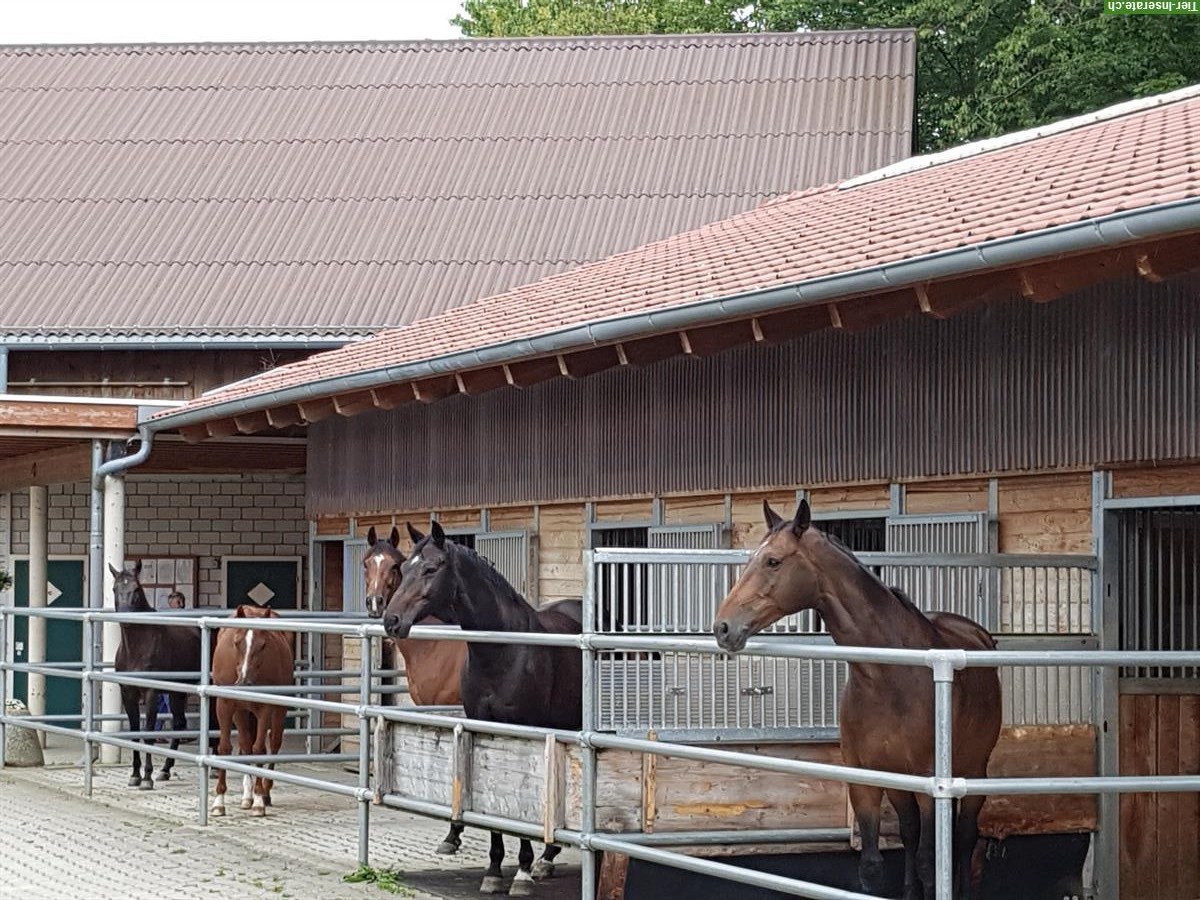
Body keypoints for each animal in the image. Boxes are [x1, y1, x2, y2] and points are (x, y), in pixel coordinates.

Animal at [111, 564, 202, 787]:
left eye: (136, 589)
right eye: (114, 589)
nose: (125, 618)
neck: (137, 647)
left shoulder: (151, 692)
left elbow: (149, 735)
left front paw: (146, 777)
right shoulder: (128, 693)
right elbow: (136, 733)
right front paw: (135, 775)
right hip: (177, 693)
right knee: (179, 724)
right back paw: (166, 770)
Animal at [210, 607, 296, 816]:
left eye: (263, 645)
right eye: (236, 642)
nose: (244, 681)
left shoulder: (264, 708)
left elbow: (258, 749)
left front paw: (258, 801)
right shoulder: (224, 705)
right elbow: (225, 748)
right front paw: (219, 801)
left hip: (278, 710)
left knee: (273, 744)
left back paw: (264, 793)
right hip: (241, 713)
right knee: (245, 745)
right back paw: (246, 796)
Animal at [381, 525, 583, 897]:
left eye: (430, 568)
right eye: (404, 569)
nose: (392, 620)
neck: (502, 650)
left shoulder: (523, 733)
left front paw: (521, 873)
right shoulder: (481, 727)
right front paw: (493, 871)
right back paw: (547, 859)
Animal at [710, 501, 1003, 900]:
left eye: (773, 561)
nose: (723, 627)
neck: (887, 677)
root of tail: (977, 633)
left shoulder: (929, 783)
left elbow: (930, 863)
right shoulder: (865, 779)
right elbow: (873, 865)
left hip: (973, 770)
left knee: (964, 839)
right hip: (899, 783)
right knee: (910, 834)